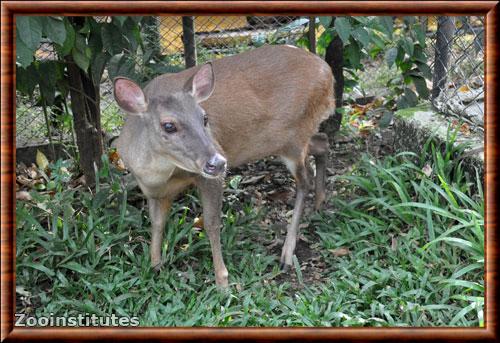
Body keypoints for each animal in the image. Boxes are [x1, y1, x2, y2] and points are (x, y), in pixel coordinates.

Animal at [111, 44, 334, 288]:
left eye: (204, 118)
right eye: (168, 125)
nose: (218, 161)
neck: (157, 174)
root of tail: (327, 71)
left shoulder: (208, 177)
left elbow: (211, 223)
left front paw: (223, 281)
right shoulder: (155, 191)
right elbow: (157, 223)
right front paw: (155, 266)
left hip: (294, 136)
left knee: (305, 179)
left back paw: (287, 253)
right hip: (289, 139)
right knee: (322, 143)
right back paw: (319, 204)